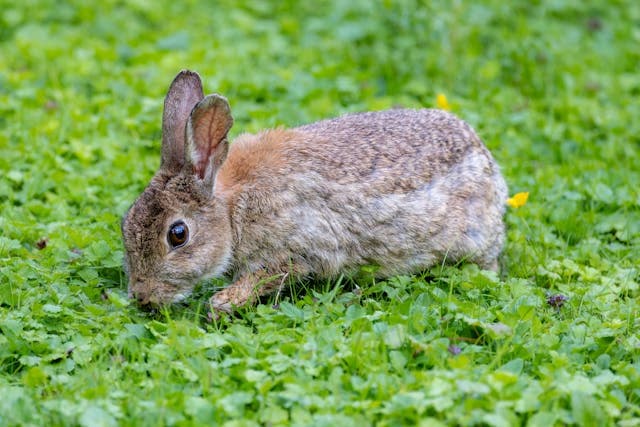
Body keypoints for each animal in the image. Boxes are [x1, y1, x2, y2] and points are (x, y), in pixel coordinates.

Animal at [121, 70, 508, 313]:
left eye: (178, 234)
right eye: (125, 223)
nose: (142, 296)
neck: (231, 209)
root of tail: (487, 161)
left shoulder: (298, 247)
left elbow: (270, 274)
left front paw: (223, 304)